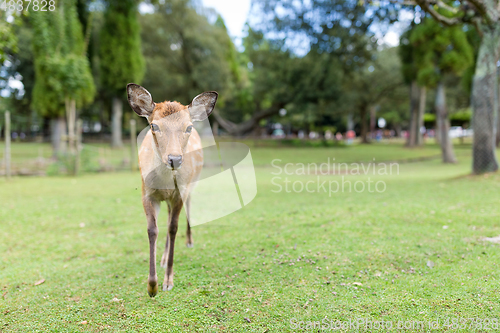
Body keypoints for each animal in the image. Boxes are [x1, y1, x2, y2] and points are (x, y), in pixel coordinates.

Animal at [127, 83, 217, 296]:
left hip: (192, 183)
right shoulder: (146, 193)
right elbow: (152, 230)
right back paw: (162, 258)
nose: (174, 159)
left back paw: (189, 241)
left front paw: (168, 280)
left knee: (186, 210)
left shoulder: (180, 192)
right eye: (154, 125)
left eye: (189, 127)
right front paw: (152, 286)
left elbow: (173, 228)